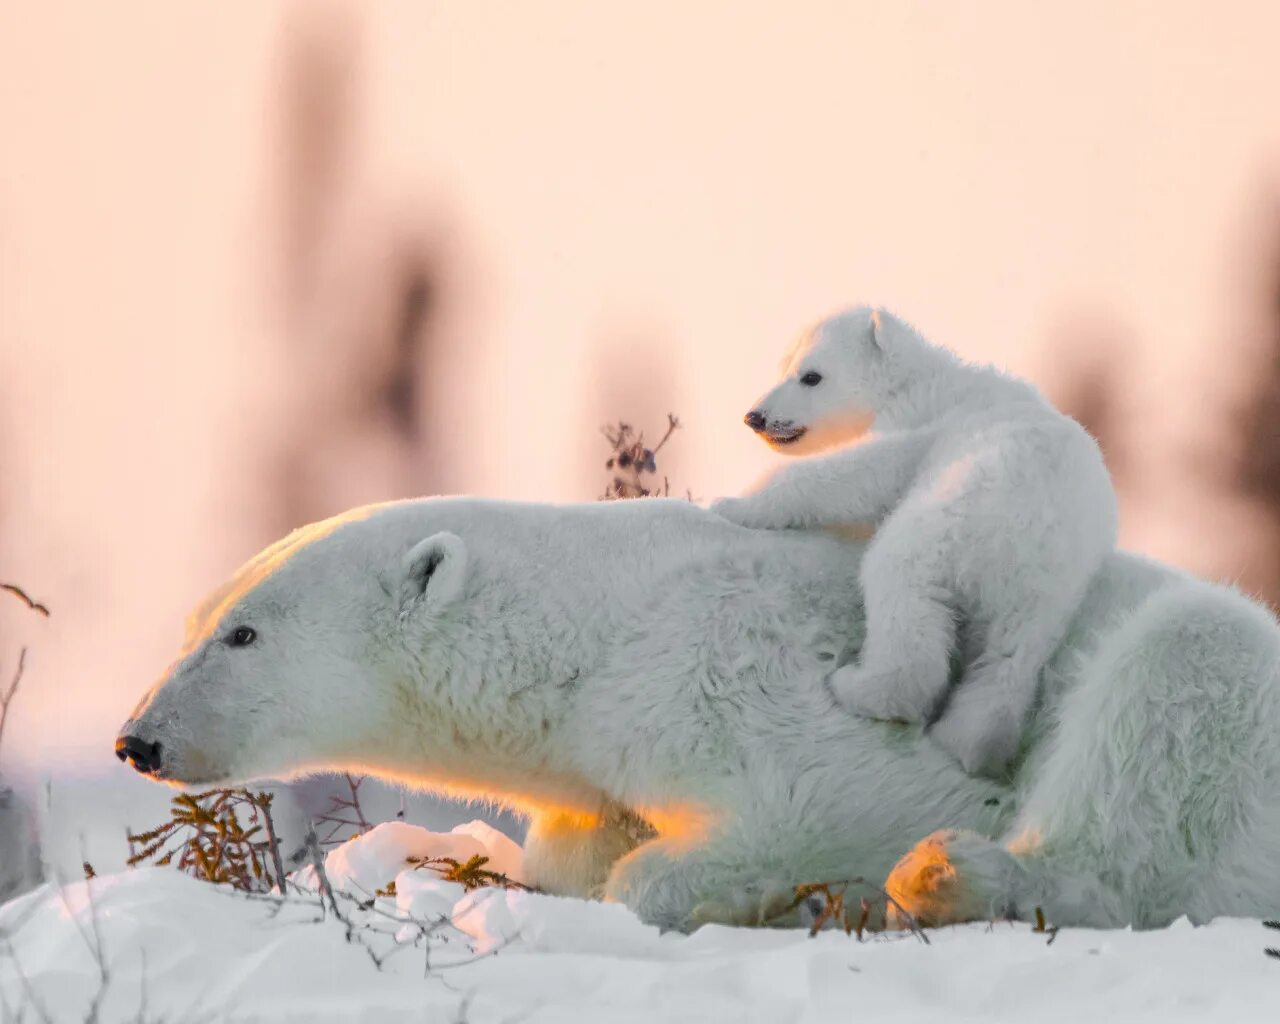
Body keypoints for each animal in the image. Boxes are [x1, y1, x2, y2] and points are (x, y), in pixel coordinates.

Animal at [112, 499, 1280, 936]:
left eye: (244, 635)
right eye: (198, 619)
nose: (138, 739)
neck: (598, 627)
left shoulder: (733, 670)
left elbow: (830, 803)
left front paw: (719, 884)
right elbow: (577, 842)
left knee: (1174, 688)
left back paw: (952, 874)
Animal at [716, 308, 1116, 778]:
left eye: (811, 376)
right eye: (785, 367)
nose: (755, 417)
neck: (918, 377)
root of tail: (1032, 538)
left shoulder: (921, 423)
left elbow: (858, 474)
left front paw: (732, 504)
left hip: (947, 520)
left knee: (901, 593)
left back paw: (858, 685)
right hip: (1047, 596)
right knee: (1007, 662)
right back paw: (967, 741)